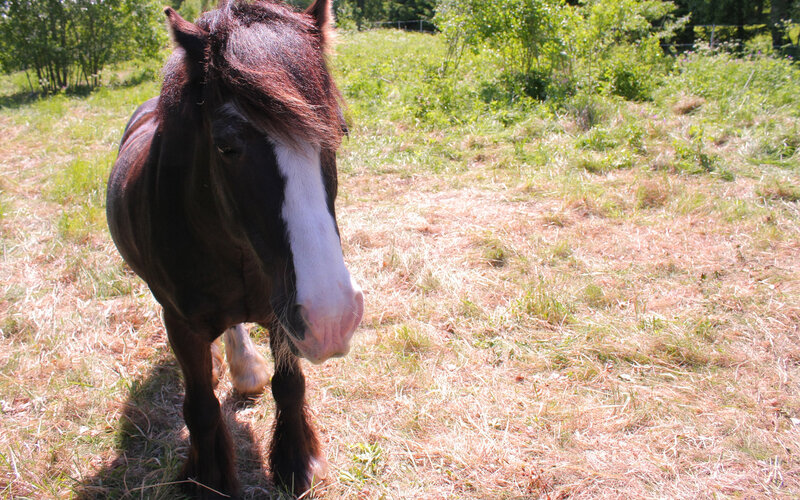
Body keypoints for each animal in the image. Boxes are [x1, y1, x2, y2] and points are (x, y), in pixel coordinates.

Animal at [105, 0, 363, 497]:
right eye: (226, 146)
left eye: (338, 131)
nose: (333, 319)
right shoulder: (182, 322)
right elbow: (201, 408)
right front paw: (209, 480)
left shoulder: (285, 313)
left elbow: (290, 387)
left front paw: (295, 461)